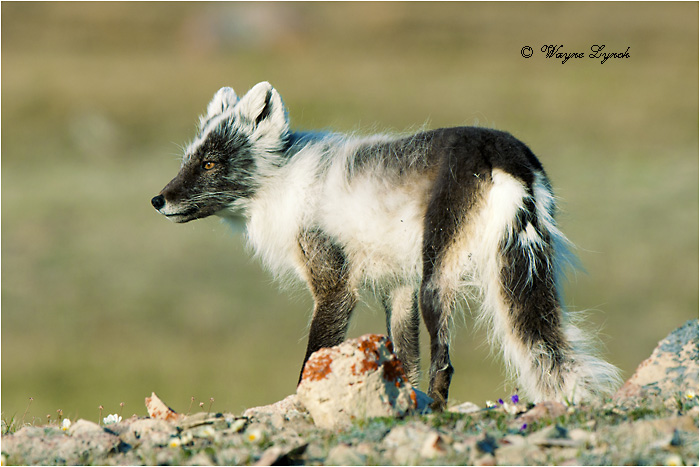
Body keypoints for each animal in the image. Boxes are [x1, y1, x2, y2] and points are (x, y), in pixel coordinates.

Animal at [151, 81, 621, 410]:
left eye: (211, 163)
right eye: (189, 159)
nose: (158, 200)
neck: (285, 182)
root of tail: (503, 152)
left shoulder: (337, 285)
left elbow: (313, 357)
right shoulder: (397, 287)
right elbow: (405, 362)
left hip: (436, 280)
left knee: (445, 363)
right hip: (521, 270)